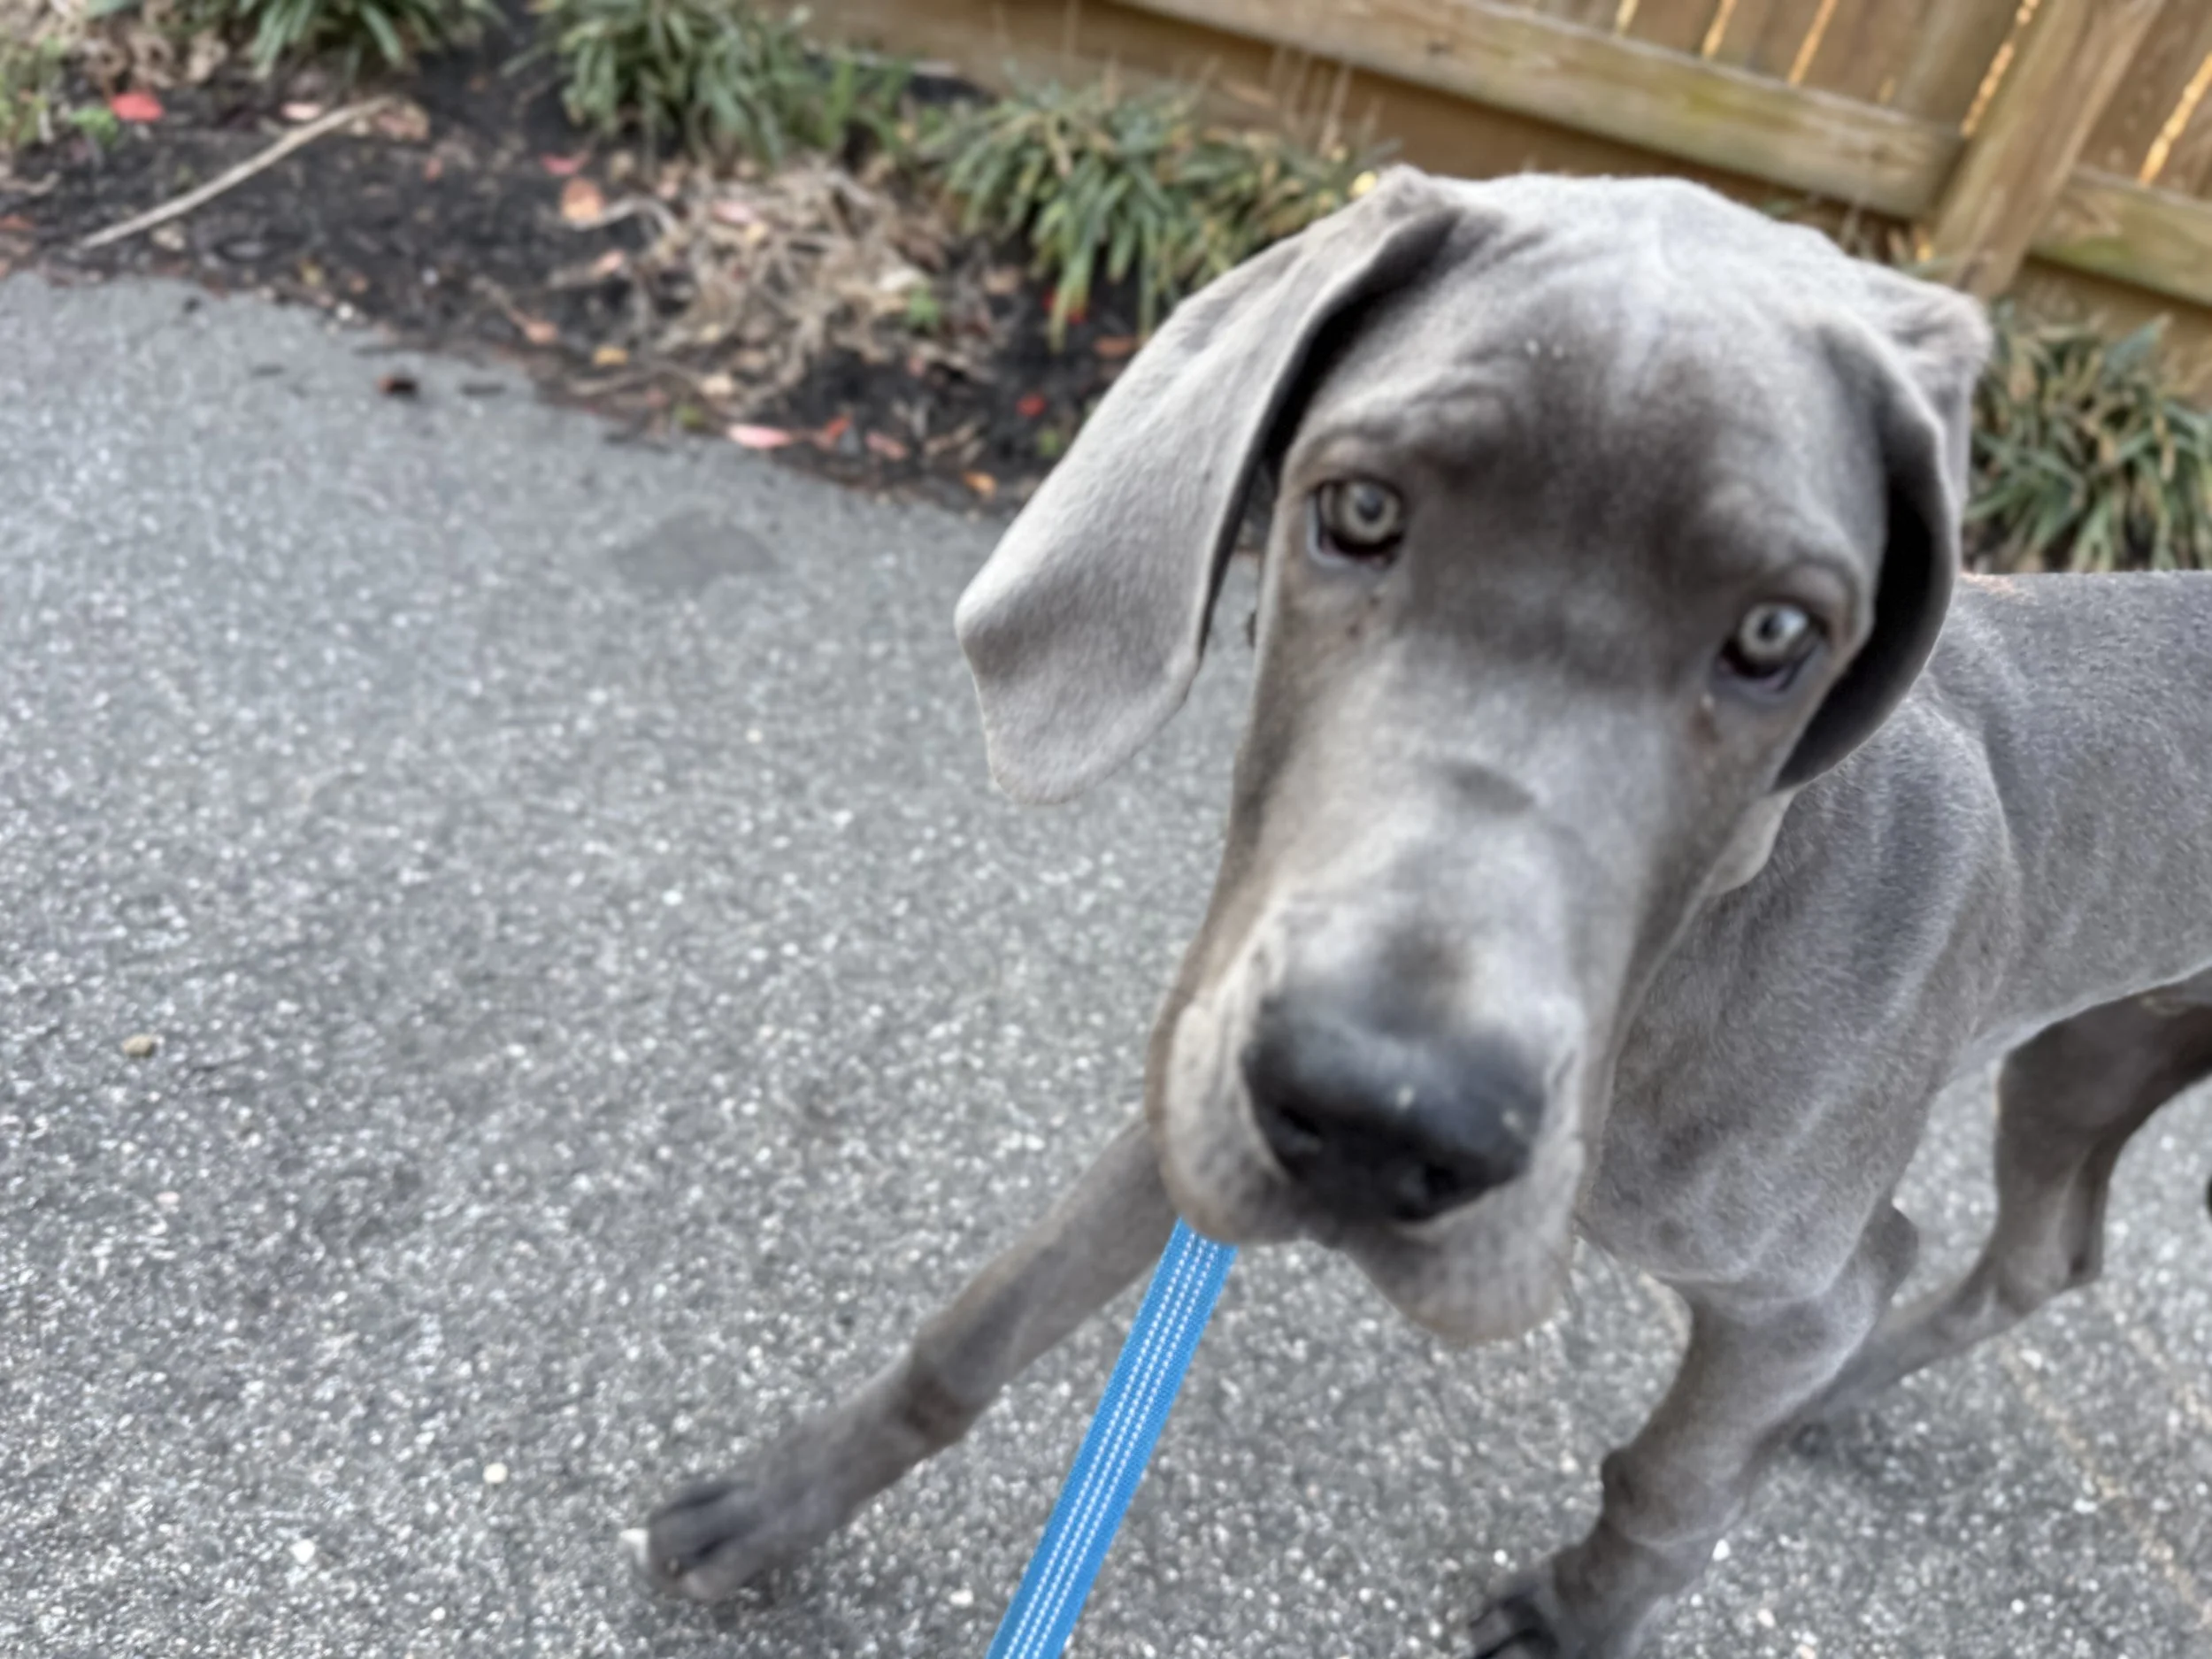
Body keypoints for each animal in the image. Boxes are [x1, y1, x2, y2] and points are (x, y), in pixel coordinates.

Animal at [625, 167, 2212, 1657]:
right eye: (1361, 509)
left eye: (1776, 635)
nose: (1379, 1117)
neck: (1685, 957)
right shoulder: (1213, 1067)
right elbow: (989, 1317)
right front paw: (777, 1502)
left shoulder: (1789, 1290)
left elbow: (1670, 1484)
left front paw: (1580, 1617)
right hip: (2094, 1053)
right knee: (2046, 1251)